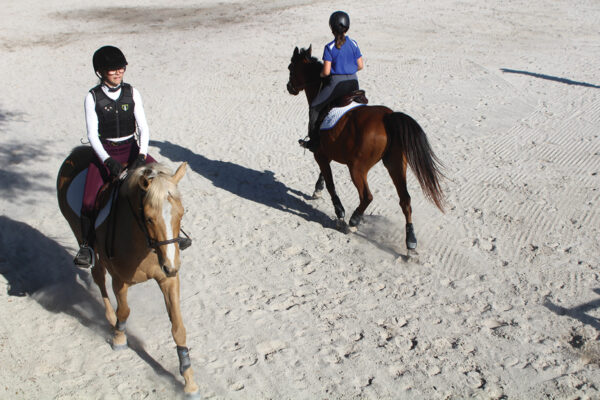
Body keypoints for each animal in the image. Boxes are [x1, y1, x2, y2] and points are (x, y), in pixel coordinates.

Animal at [56, 145, 198, 396]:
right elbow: (124, 310)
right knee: (98, 276)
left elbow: (178, 327)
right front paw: (119, 337)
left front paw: (188, 379)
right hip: (81, 235)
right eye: (149, 219)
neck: (145, 243)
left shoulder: (168, 280)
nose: (171, 265)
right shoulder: (119, 279)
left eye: (181, 213)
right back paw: (110, 318)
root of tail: (77, 152)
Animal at [286, 47, 446, 250]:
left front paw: (339, 213)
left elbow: (331, 184)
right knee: (405, 200)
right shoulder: (325, 153)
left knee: (367, 196)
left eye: (291, 68)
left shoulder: (320, 154)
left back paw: (353, 221)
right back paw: (410, 241)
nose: (289, 87)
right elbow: (324, 176)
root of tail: (388, 117)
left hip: (357, 168)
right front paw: (317, 190)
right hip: (395, 164)